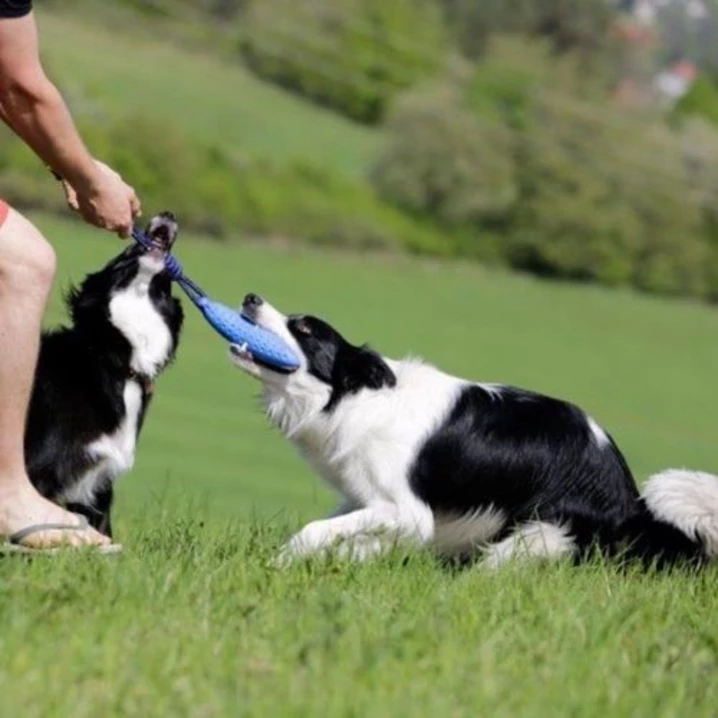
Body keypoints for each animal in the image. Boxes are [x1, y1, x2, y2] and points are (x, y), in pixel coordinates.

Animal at [229, 296, 718, 572]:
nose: (251, 297)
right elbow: (349, 535)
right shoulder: (367, 500)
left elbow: (316, 530)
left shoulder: (409, 510)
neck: (361, 398)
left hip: (539, 534)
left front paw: (284, 562)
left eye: (303, 328)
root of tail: (631, 496)